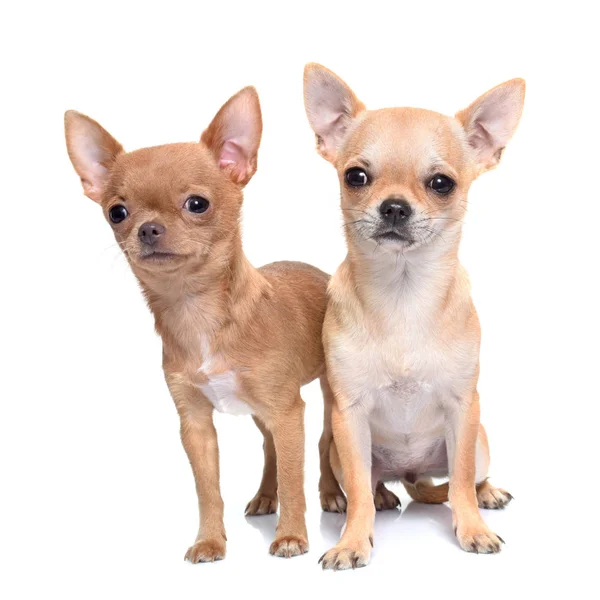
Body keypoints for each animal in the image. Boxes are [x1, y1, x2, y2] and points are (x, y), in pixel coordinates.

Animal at [67, 86, 338, 560]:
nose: (148, 228)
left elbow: (294, 478)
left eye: (197, 204)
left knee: (321, 443)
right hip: (259, 411)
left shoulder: (288, 412)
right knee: (268, 447)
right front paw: (210, 539)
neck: (197, 310)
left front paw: (291, 536)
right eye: (117, 212)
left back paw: (331, 494)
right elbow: (207, 489)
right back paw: (265, 496)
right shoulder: (195, 425)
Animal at [304, 63, 524, 568]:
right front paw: (351, 540)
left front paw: (473, 529)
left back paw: (487, 493)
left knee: (466, 478)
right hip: (349, 451)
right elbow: (359, 493)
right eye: (356, 176)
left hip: (478, 441)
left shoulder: (463, 407)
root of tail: (412, 473)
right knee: (368, 483)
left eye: (441, 183)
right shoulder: (349, 415)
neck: (402, 296)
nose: (394, 207)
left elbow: (459, 482)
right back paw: (380, 496)